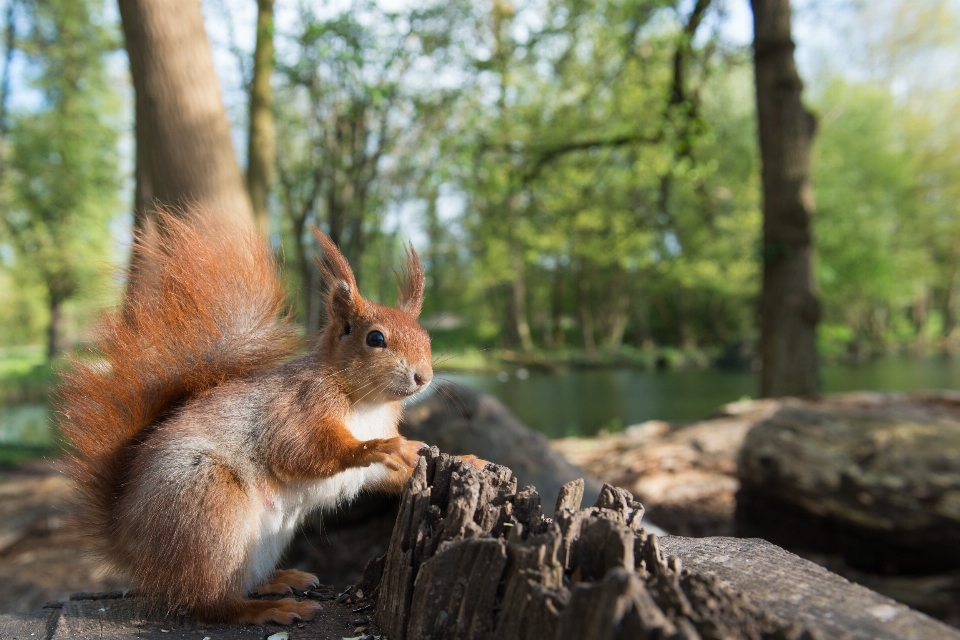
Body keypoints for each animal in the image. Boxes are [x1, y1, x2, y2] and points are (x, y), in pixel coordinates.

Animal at [58, 211, 474, 624]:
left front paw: (464, 457)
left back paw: (278, 581)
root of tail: (130, 545)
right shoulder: (296, 408)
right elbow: (300, 451)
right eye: (375, 339)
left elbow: (389, 475)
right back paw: (269, 609)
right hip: (208, 507)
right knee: (210, 603)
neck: (367, 404)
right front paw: (379, 446)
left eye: (427, 337)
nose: (424, 377)